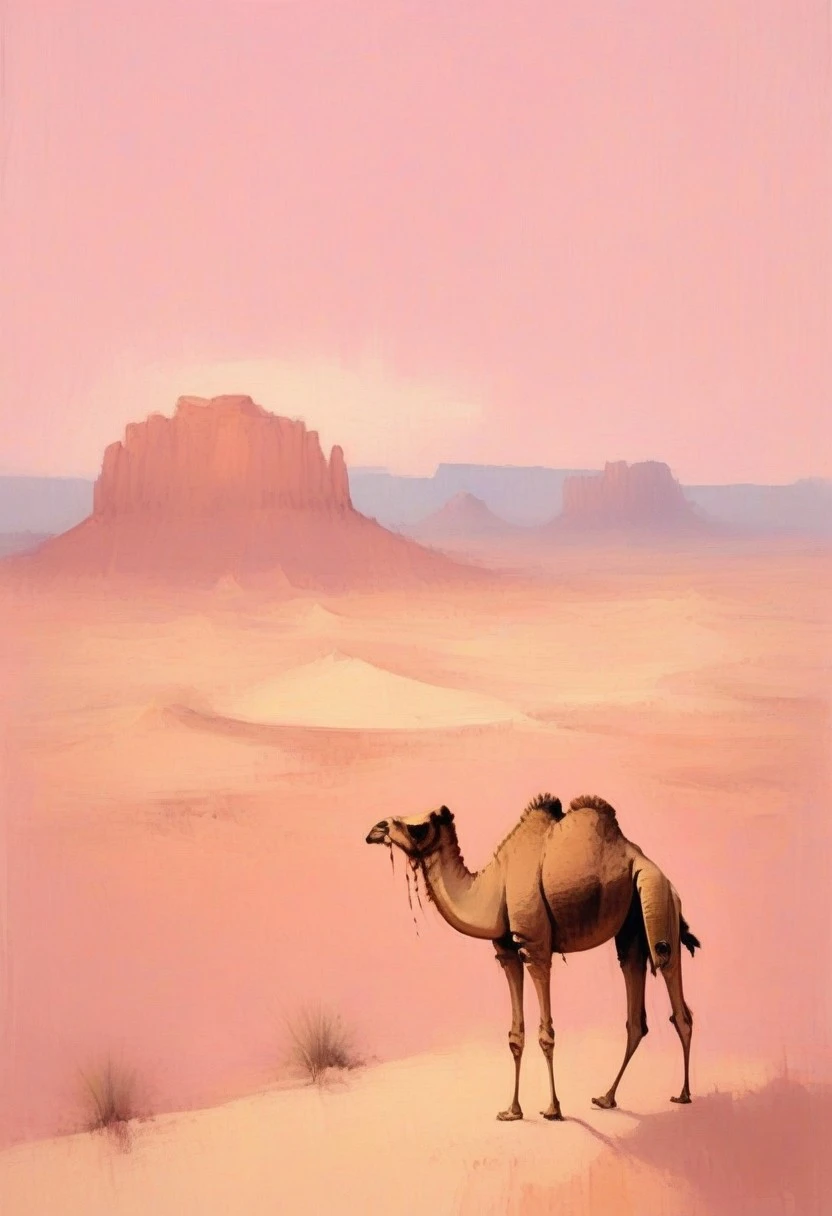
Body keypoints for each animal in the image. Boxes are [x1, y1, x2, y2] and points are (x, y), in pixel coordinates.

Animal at [365, 793, 700, 1121]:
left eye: (417, 828)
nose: (375, 830)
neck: (494, 887)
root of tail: (648, 863)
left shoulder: (535, 947)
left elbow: (546, 1034)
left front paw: (553, 1109)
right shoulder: (507, 952)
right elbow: (516, 1035)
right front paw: (512, 1111)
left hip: (658, 899)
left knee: (672, 982)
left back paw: (683, 1094)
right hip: (631, 928)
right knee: (636, 1008)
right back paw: (606, 1098)